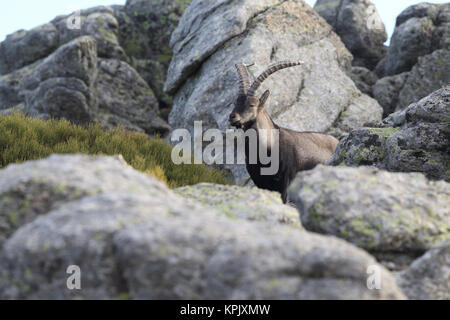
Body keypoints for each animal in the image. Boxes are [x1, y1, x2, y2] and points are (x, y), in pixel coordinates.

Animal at [229, 61, 338, 202]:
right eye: (235, 102)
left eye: (252, 104)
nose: (232, 117)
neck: (267, 146)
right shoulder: (260, 182)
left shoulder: (286, 181)